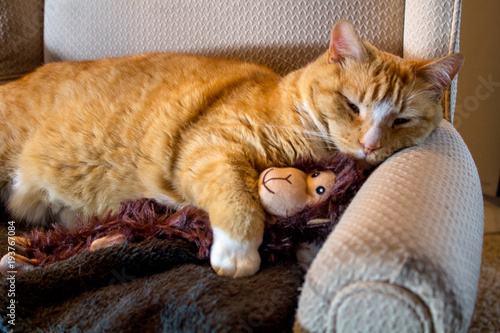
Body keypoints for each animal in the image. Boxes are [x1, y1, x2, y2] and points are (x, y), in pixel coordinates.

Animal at [0, 20, 462, 274]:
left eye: (401, 120)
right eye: (352, 105)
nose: (369, 145)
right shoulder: (210, 150)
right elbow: (239, 200)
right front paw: (238, 253)